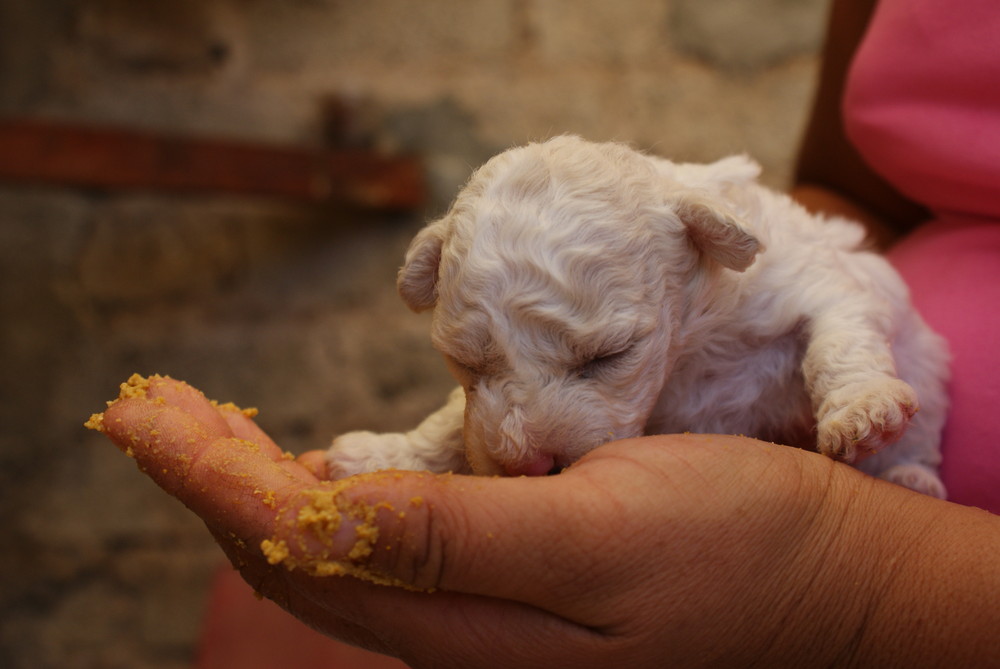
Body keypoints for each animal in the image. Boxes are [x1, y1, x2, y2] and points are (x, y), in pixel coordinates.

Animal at [330, 134, 952, 496]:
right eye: (466, 364)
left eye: (610, 356)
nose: (529, 462)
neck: (688, 346)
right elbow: (450, 420)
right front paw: (384, 452)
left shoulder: (815, 282)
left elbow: (836, 338)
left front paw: (863, 411)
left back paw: (910, 475)